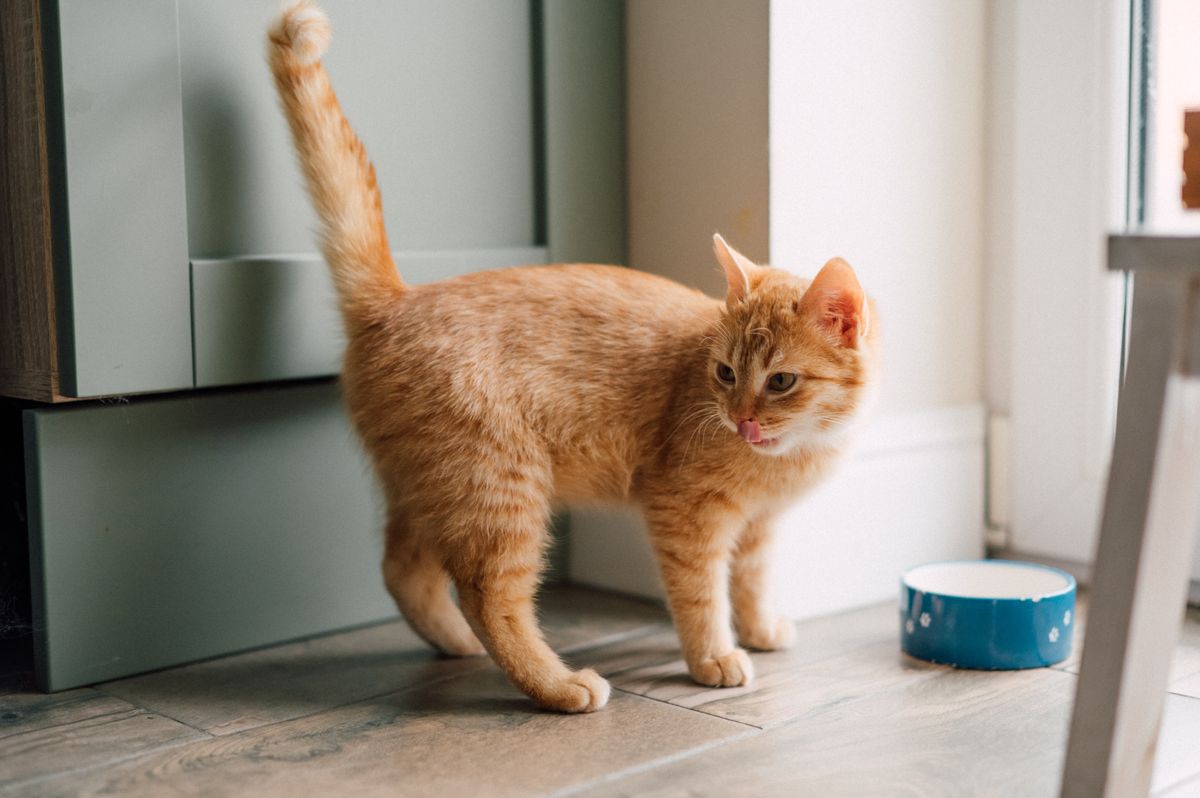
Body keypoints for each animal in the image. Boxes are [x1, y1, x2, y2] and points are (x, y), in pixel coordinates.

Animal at [267, 0, 878, 710]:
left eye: (779, 381)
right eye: (727, 374)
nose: (742, 420)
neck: (794, 456)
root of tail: (397, 297)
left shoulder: (757, 529)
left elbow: (750, 582)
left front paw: (758, 630)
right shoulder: (685, 516)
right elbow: (701, 595)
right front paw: (715, 657)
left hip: (432, 487)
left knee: (403, 568)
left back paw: (455, 643)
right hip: (498, 491)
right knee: (490, 596)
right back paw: (557, 685)